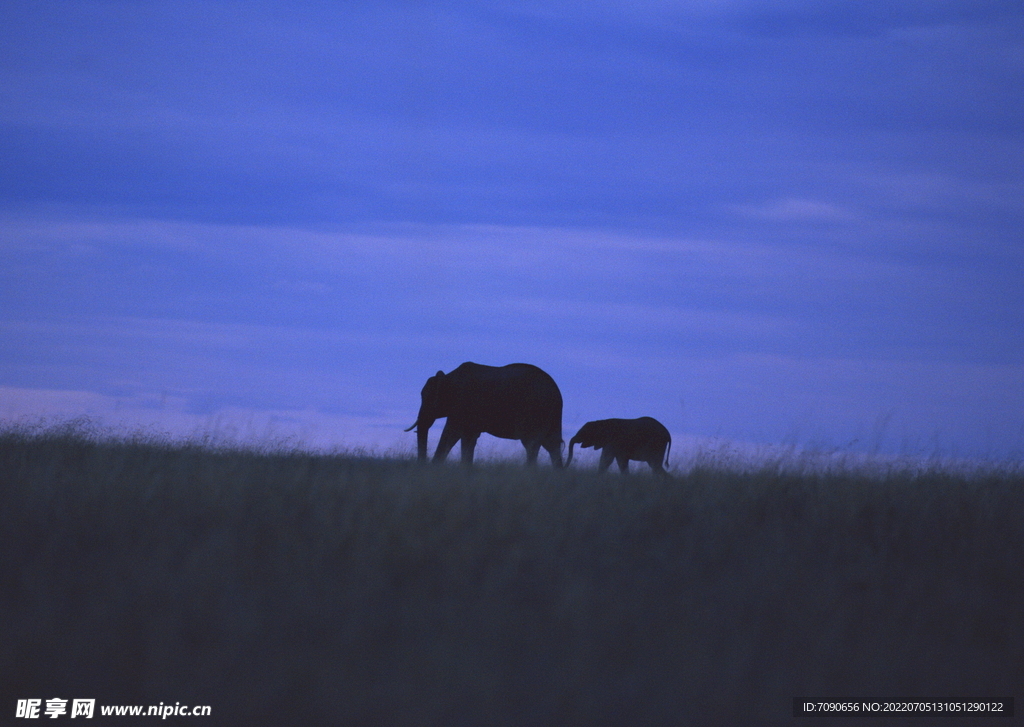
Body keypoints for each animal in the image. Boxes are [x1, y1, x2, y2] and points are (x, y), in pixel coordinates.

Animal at [405, 362, 565, 468]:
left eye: (427, 399)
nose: (421, 463)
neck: (448, 377)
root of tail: (557, 393)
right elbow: (468, 437)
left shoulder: (462, 403)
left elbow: (453, 433)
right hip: (550, 415)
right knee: (552, 445)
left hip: (535, 412)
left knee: (532, 444)